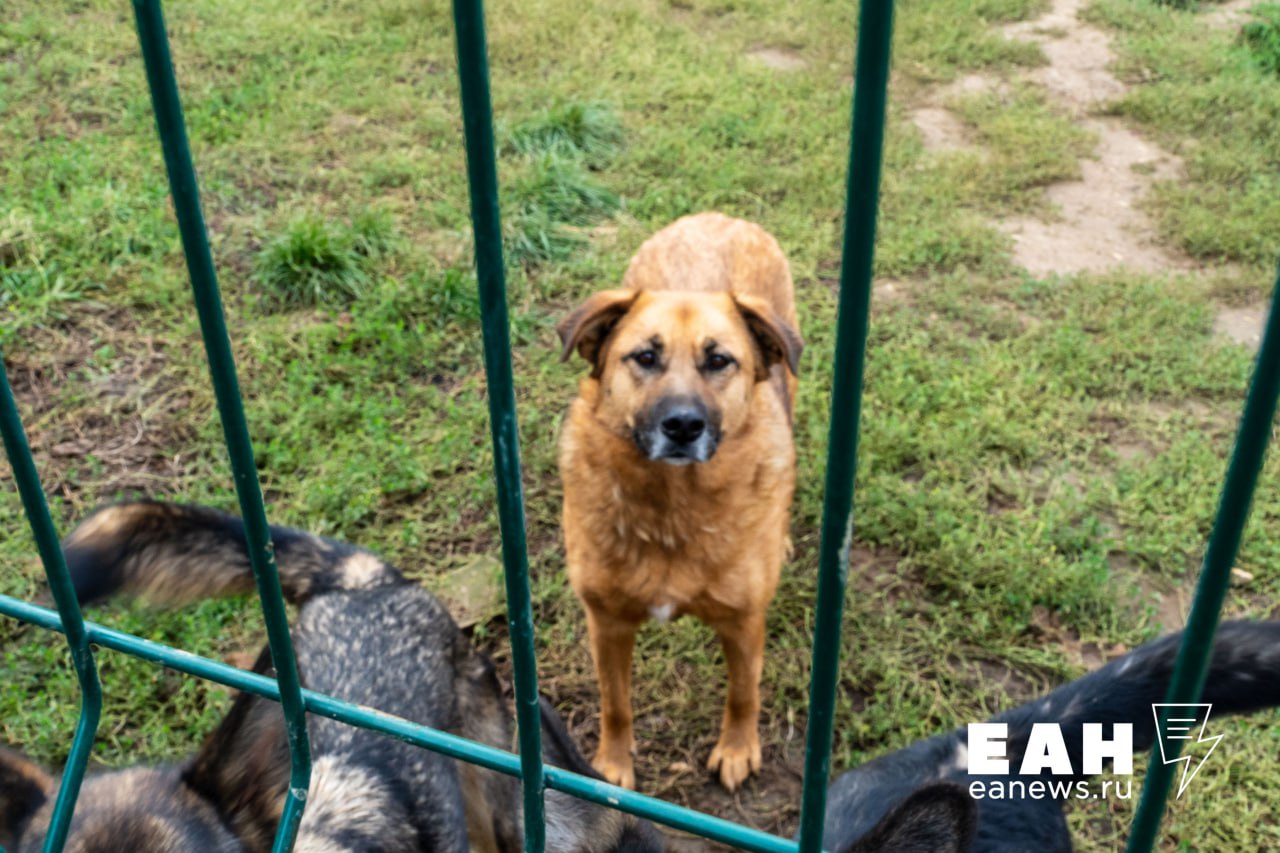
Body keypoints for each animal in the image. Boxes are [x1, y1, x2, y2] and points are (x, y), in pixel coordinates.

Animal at [558, 211, 798, 788]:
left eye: (720, 361)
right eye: (645, 357)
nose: (684, 426)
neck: (672, 508)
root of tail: (719, 216)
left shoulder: (743, 623)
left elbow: (743, 694)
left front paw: (737, 750)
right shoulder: (607, 622)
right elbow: (615, 703)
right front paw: (613, 767)